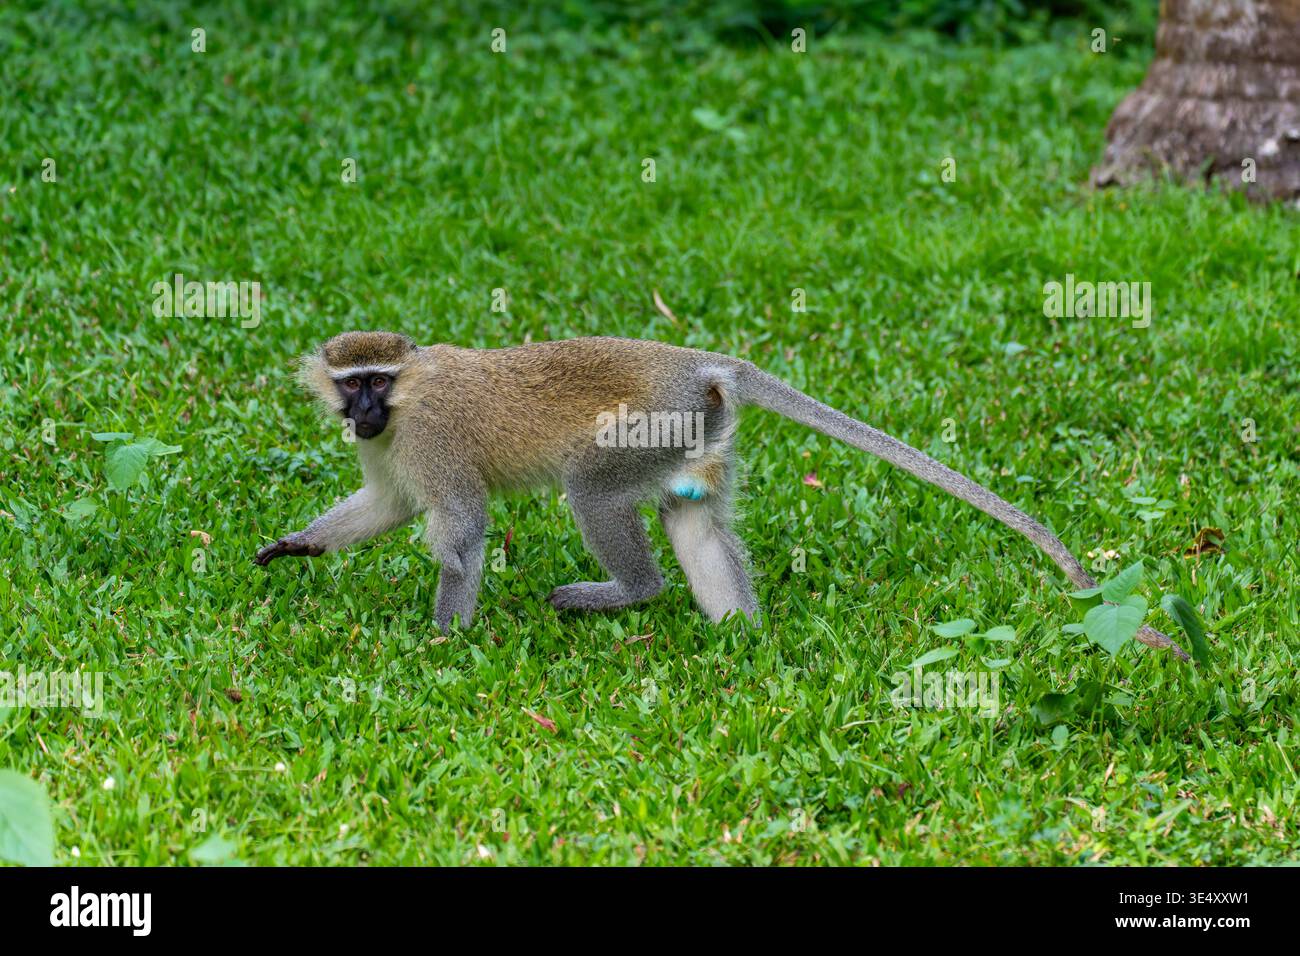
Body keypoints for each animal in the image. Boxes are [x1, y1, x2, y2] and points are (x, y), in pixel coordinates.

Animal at [253, 331, 1187, 660]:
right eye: (351, 384)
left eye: (378, 381)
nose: (364, 414)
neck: (408, 403)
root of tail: (694, 360)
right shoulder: (391, 454)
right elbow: (387, 507)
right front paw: (297, 545)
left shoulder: (434, 440)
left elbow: (462, 532)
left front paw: (443, 641)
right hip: (695, 431)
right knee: (690, 514)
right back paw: (740, 635)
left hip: (648, 425)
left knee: (594, 495)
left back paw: (632, 593)